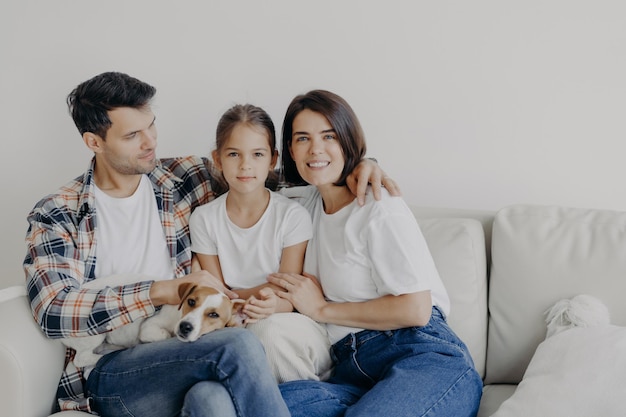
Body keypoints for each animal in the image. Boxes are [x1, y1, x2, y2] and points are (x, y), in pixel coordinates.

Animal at [61, 276, 246, 368]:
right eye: (191, 301)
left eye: (214, 315)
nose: (185, 327)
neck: (177, 316)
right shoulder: (148, 327)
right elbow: (163, 334)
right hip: (94, 332)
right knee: (81, 359)